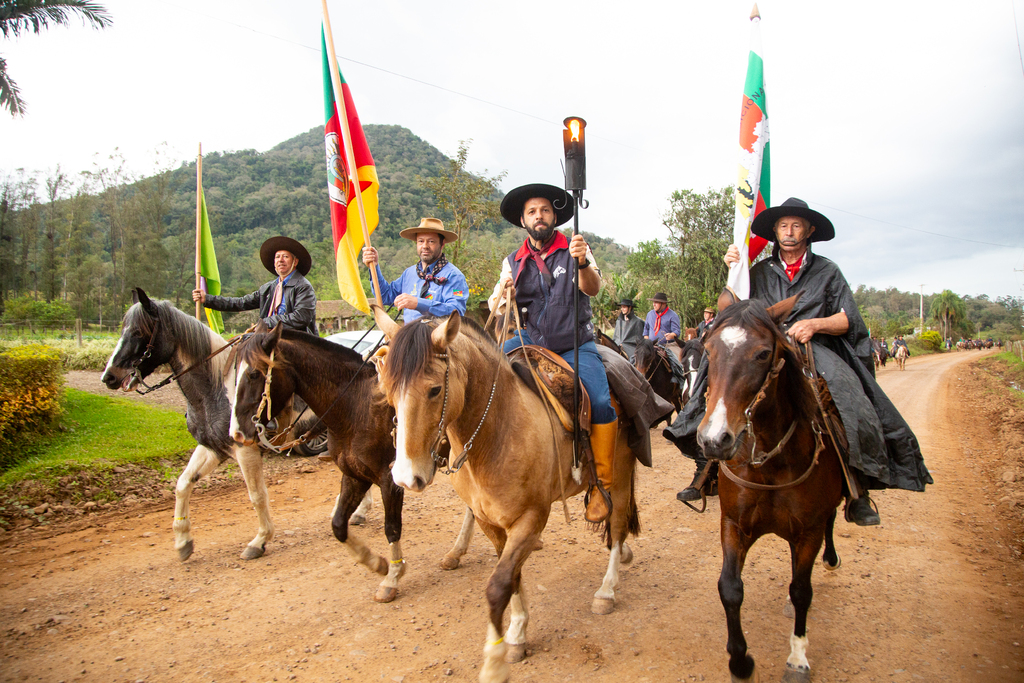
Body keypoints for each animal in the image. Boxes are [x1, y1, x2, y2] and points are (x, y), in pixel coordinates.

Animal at [99, 288, 370, 561]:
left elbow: (257, 495)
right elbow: (183, 484)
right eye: (122, 329)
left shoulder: (245, 448)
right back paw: (358, 511)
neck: (214, 389)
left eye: (137, 332)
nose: (109, 376)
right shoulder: (213, 447)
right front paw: (183, 541)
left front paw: (260, 540)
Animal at [228, 327, 475, 602]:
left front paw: (392, 576)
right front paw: (375, 562)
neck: (357, 407)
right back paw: (455, 553)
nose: (237, 433)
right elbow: (338, 525)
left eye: (253, 374)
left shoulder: (389, 480)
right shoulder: (354, 475)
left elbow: (392, 528)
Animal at [372, 311, 634, 683]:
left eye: (434, 389)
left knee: (619, 521)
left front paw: (495, 660)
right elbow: (511, 577)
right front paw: (517, 633)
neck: (497, 430)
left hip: (622, 471)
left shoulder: (531, 518)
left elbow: (498, 586)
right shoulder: (490, 522)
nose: (406, 477)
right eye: (388, 389)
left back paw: (607, 590)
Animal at [700, 294, 843, 683]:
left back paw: (831, 558)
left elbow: (801, 590)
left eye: (763, 354)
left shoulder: (807, 532)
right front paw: (739, 660)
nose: (714, 439)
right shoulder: (734, 525)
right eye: (708, 349)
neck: (771, 461)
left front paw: (797, 658)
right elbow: (729, 588)